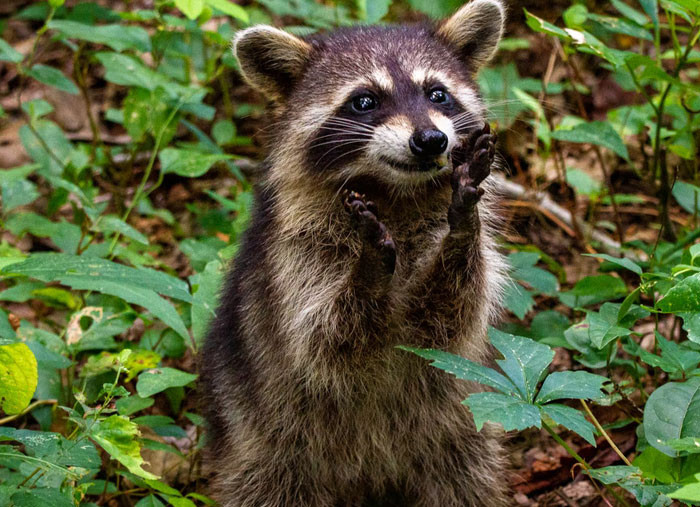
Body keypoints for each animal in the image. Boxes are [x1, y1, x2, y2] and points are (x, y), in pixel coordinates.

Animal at [200, 1, 509, 505]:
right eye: (365, 101)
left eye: (437, 93)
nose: (430, 140)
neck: (395, 192)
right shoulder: (294, 255)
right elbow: (324, 339)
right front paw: (367, 271)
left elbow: (450, 319)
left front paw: (461, 228)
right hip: (267, 444)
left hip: (460, 434)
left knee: (465, 481)